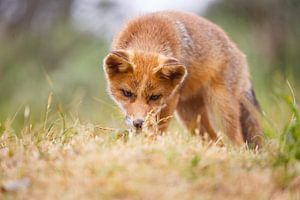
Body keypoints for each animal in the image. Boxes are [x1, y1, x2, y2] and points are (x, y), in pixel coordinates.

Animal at [103, 10, 262, 147]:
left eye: (154, 97)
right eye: (127, 93)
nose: (138, 123)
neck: (148, 35)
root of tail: (239, 51)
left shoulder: (169, 101)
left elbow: (158, 130)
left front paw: (151, 145)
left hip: (220, 110)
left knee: (238, 142)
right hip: (191, 117)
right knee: (216, 141)